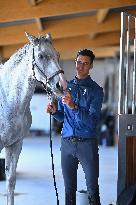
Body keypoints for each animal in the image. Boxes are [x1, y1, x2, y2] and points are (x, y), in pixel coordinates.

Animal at [0, 32, 66, 204]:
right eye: (41, 56)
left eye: (57, 54)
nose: (61, 86)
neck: (7, 99)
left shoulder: (16, 144)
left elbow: (11, 181)